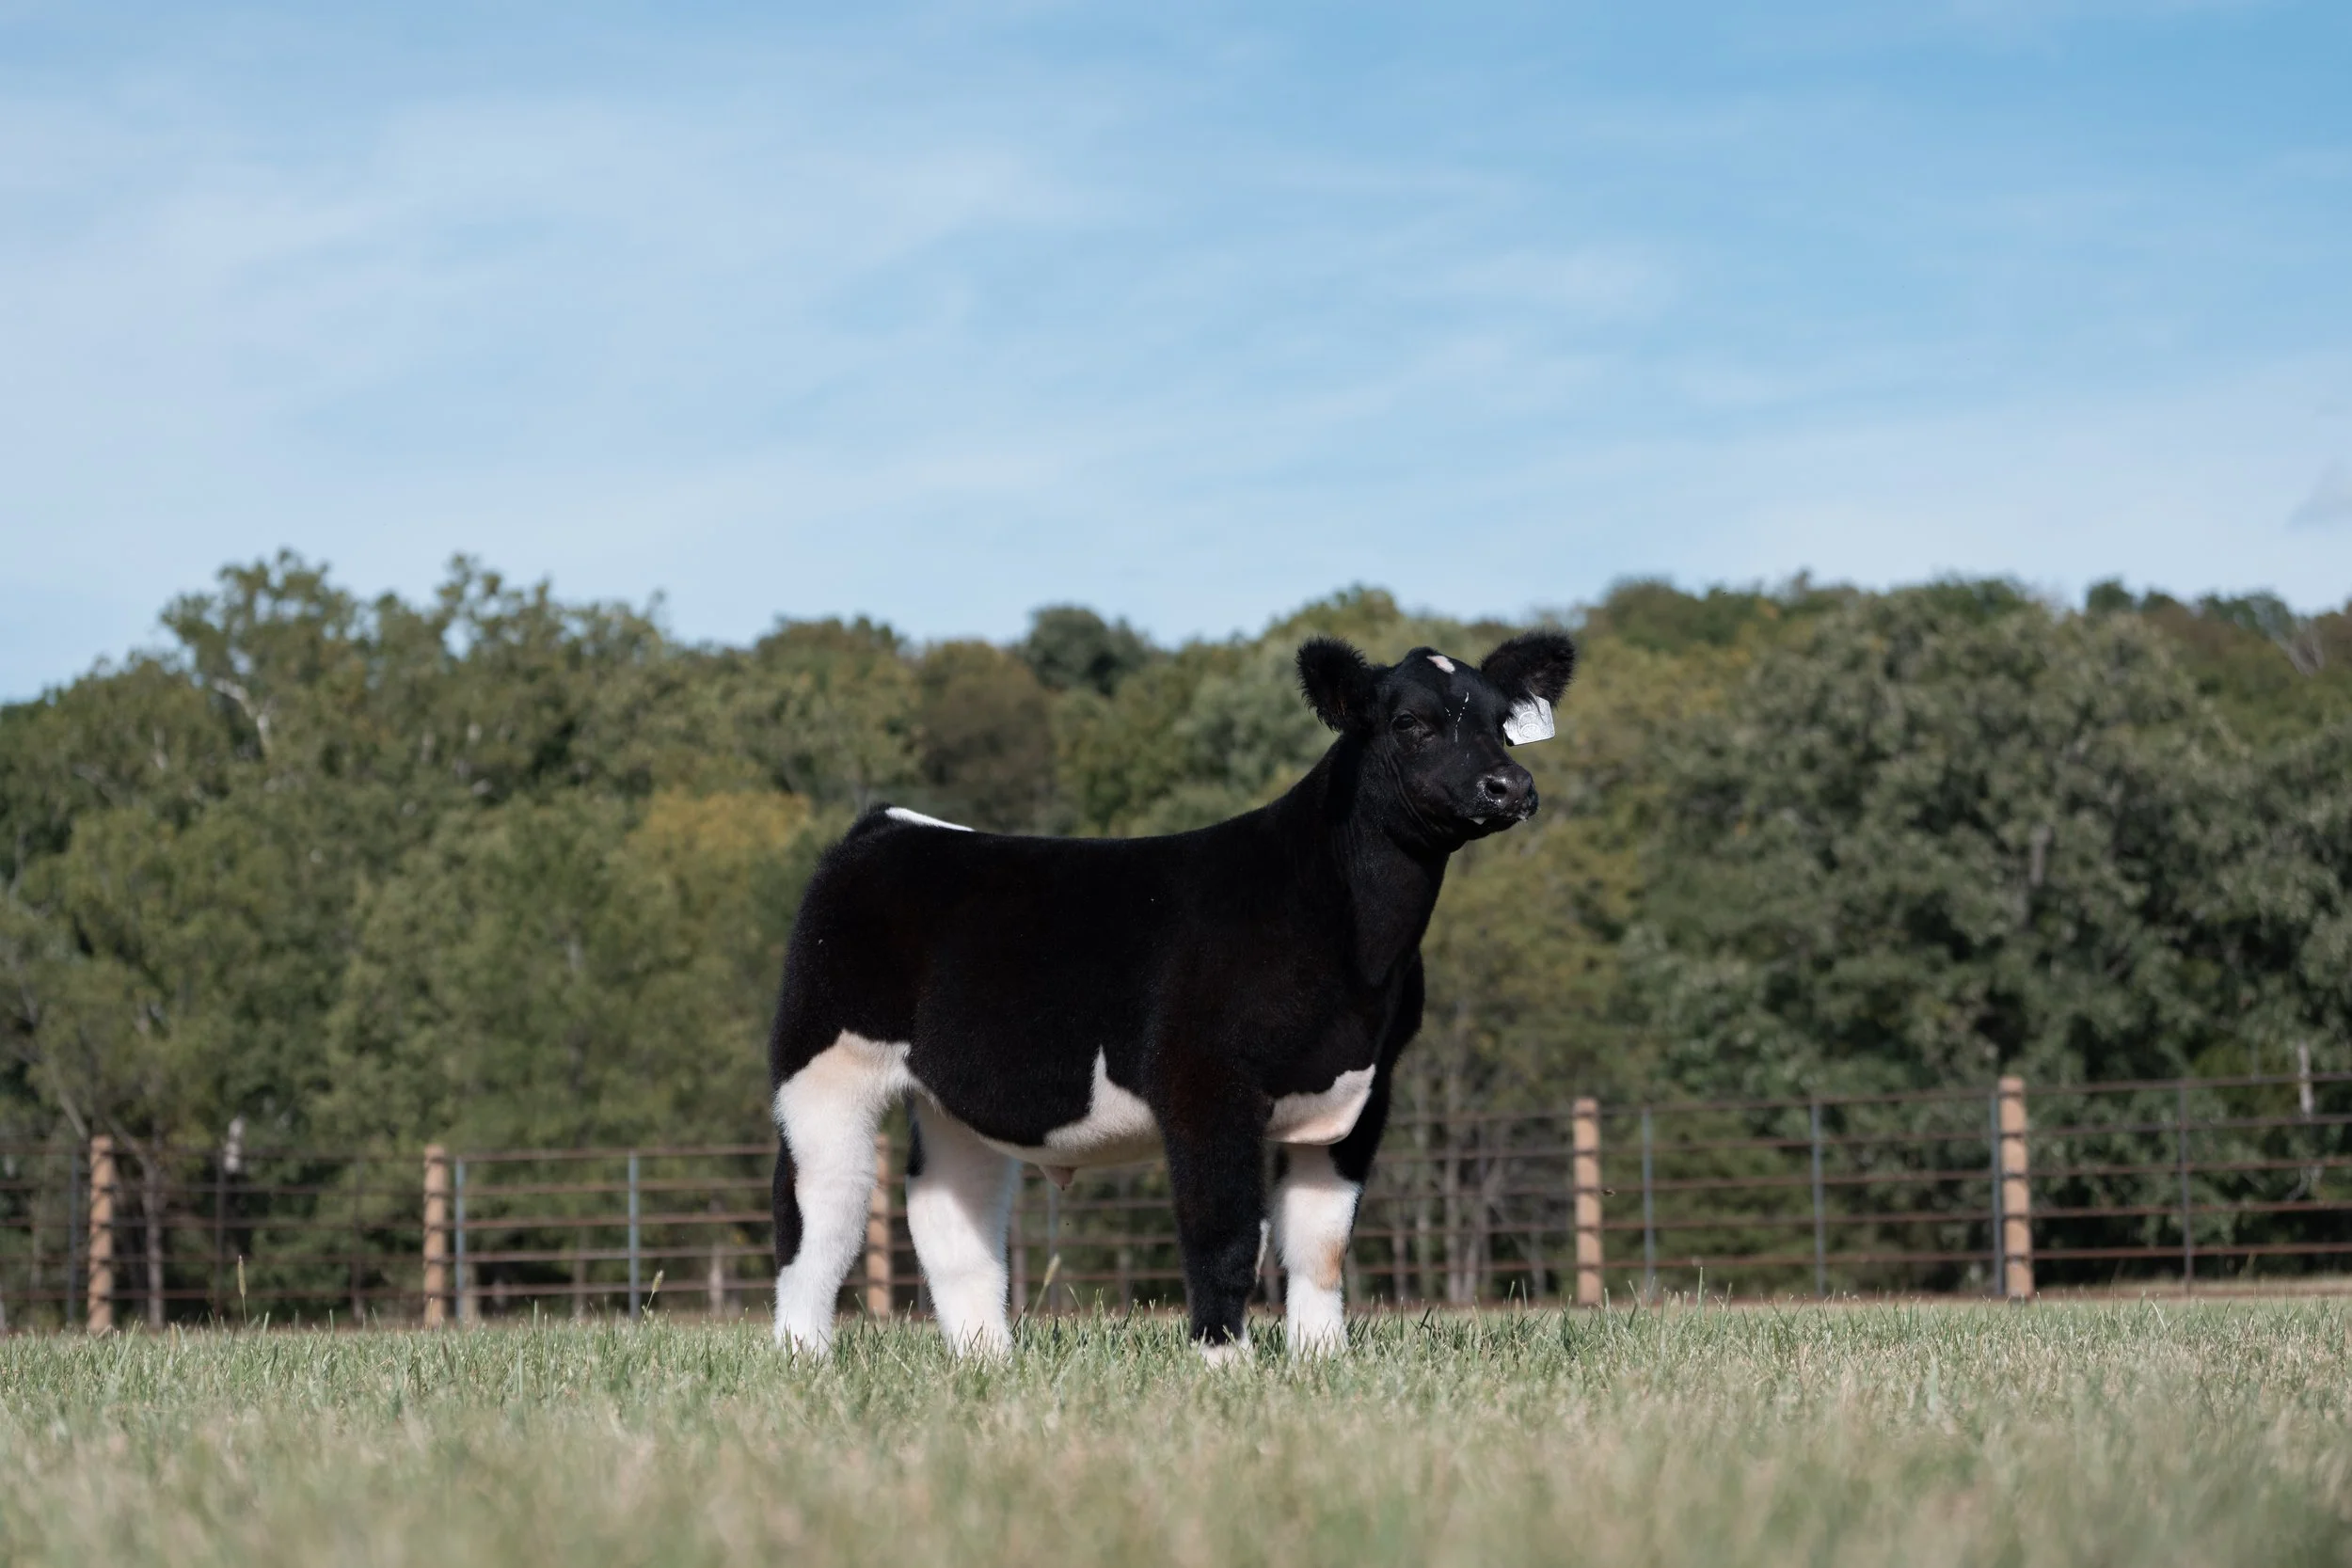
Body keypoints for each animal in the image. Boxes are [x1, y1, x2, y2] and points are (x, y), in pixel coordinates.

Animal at [766, 629, 1577, 1361]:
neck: (1357, 949)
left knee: (950, 1216)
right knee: (818, 1206)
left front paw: (1323, 1360)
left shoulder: (1365, 1085)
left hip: (953, 1097)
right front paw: (1225, 1362)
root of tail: (890, 826)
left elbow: (1320, 1242)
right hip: (821, 1066)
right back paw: (804, 1355)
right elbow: (1223, 1229)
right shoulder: (1204, 1078)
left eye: (1503, 722)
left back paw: (987, 1360)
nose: (1510, 786)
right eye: (1411, 722)